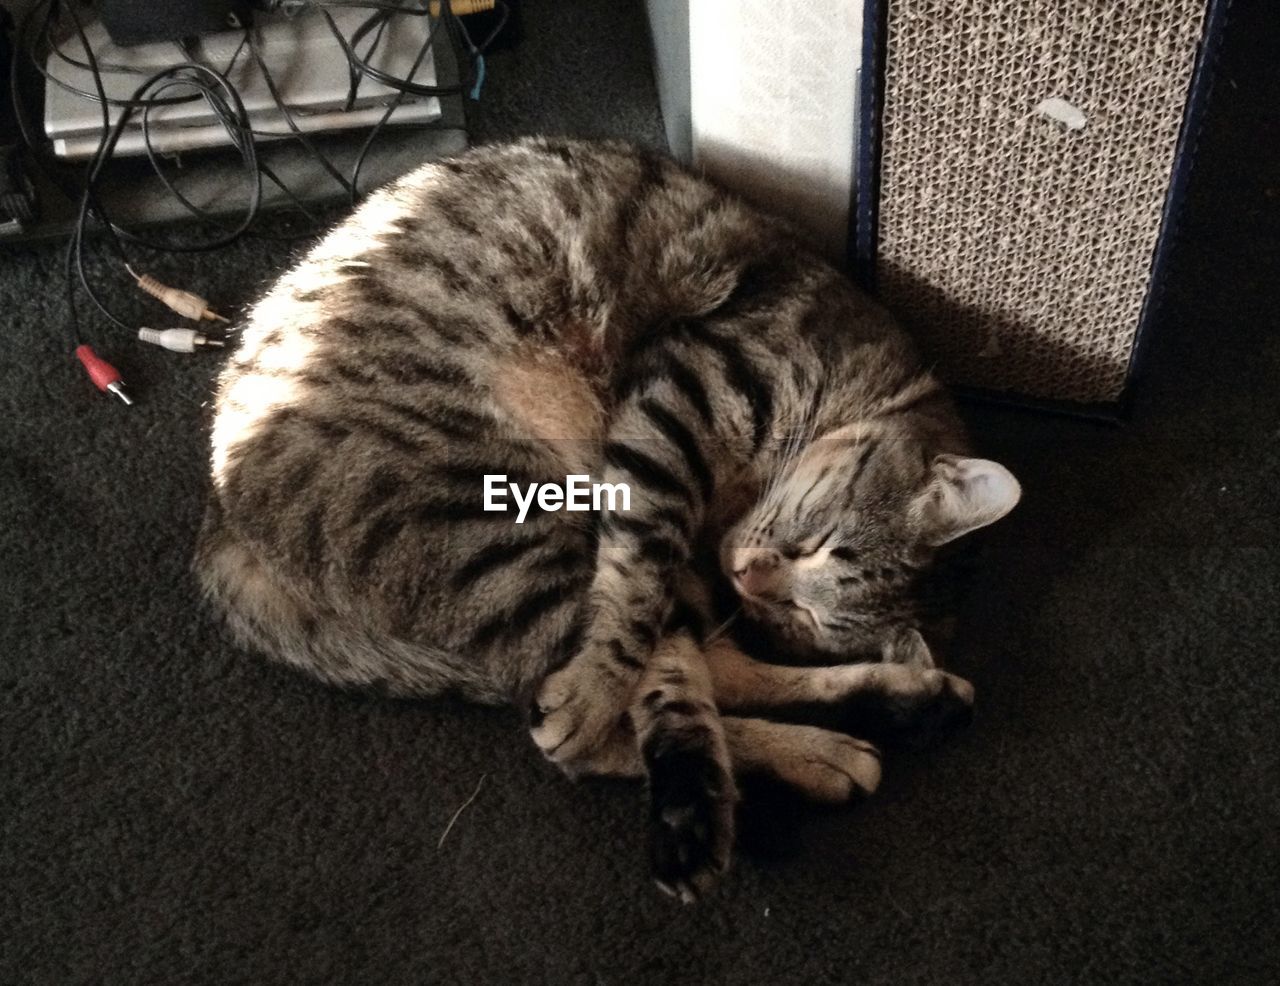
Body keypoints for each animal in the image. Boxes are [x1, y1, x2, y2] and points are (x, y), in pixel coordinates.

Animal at [197, 136, 1018, 901]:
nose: (752, 580)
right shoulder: (685, 398)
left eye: (808, 618)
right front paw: (596, 689)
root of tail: (225, 527)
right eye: (818, 543)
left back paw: (899, 709)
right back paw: (758, 777)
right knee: (614, 719)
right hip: (498, 508)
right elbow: (633, 600)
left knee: (700, 673)